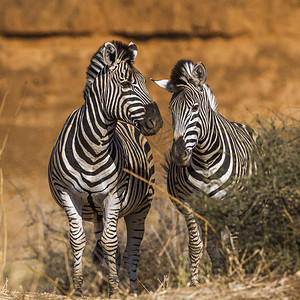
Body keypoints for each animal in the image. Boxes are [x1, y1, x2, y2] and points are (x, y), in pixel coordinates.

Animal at [48, 40, 163, 296]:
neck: (94, 147)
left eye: (145, 83)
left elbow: (112, 244)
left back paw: (131, 290)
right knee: (108, 247)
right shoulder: (68, 193)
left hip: (140, 208)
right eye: (126, 84)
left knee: (130, 252)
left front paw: (115, 290)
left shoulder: (113, 194)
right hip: (99, 213)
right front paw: (78, 290)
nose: (157, 122)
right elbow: (78, 240)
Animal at [154, 59, 258, 286]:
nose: (178, 155)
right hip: (211, 213)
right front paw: (193, 283)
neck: (205, 159)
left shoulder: (233, 203)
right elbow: (196, 246)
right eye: (171, 109)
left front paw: (239, 275)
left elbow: (236, 241)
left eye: (194, 108)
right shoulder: (188, 204)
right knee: (213, 245)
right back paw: (218, 275)